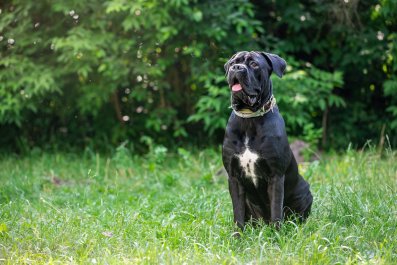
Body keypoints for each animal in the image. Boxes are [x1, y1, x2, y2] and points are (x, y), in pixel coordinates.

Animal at [221, 50, 310, 228]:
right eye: (233, 62)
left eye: (254, 64)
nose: (237, 67)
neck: (249, 119)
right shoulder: (234, 177)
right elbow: (238, 213)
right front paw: (237, 235)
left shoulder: (276, 175)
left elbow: (276, 210)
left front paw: (277, 234)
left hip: (305, 191)